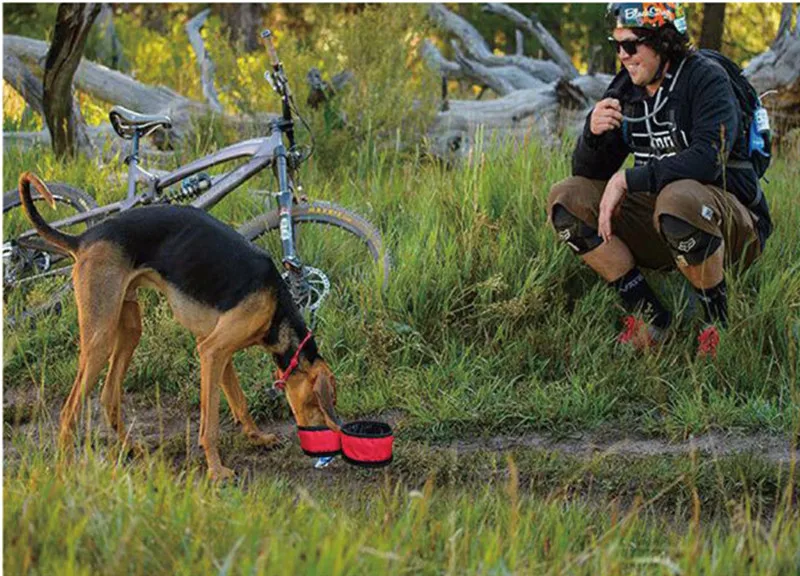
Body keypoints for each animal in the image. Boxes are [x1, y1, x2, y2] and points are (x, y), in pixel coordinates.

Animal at [17, 173, 340, 480]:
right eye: (324, 402)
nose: (327, 450)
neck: (275, 305)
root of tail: (84, 237)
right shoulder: (211, 351)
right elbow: (210, 424)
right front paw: (216, 471)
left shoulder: (219, 355)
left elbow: (240, 402)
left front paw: (257, 437)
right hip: (100, 339)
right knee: (68, 411)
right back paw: (66, 466)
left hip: (129, 329)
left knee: (109, 397)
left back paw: (130, 447)